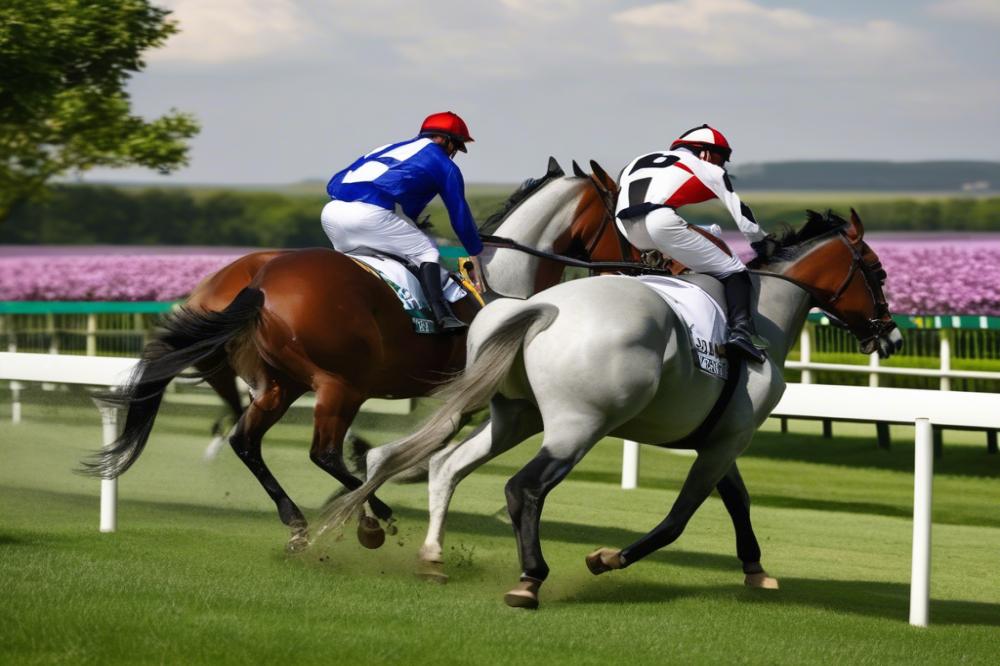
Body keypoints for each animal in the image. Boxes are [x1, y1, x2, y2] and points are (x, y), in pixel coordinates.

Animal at [82, 158, 639, 552]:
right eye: (621, 218)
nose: (643, 263)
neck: (502, 281)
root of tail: (259, 281)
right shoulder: (471, 389)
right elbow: (429, 441)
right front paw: (380, 474)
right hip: (339, 382)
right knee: (321, 452)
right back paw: (374, 517)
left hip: (283, 383)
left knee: (247, 441)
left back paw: (300, 520)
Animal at [322, 209, 903, 608]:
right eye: (877, 271)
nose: (892, 336)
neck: (762, 317)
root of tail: (543, 307)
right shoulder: (726, 441)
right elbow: (679, 519)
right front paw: (606, 558)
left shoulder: (721, 439)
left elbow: (738, 501)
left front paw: (756, 569)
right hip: (577, 427)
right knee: (522, 488)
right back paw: (529, 579)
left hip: (515, 418)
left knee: (446, 465)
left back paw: (431, 557)